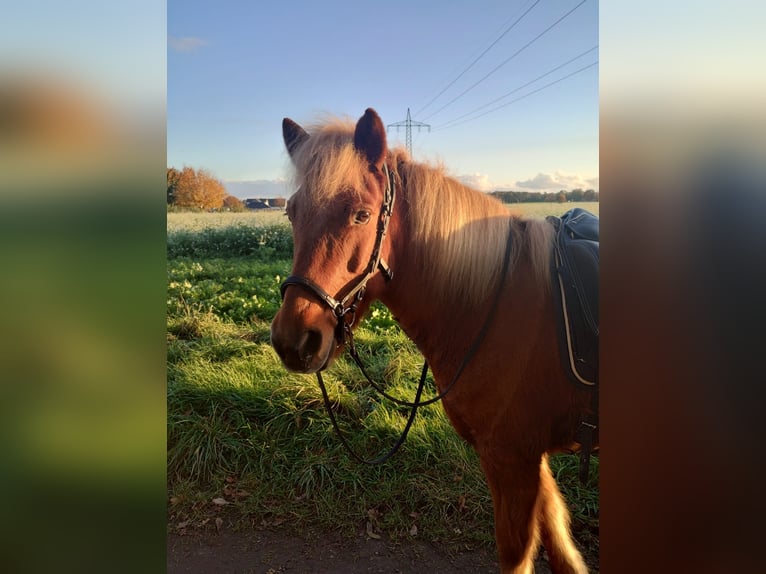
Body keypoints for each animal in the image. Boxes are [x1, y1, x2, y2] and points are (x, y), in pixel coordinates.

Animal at [272, 109, 596, 574]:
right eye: (291, 214)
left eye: (361, 215)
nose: (294, 341)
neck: (495, 300)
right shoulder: (530, 458)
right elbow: (558, 539)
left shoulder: (511, 459)